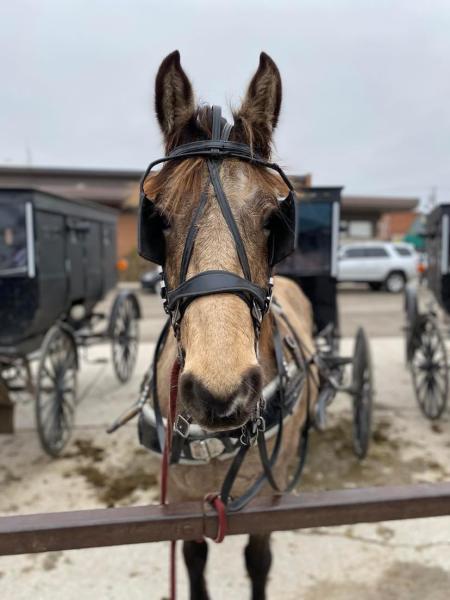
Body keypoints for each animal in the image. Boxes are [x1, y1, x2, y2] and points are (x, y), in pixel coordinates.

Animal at [142, 50, 318, 600]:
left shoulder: (263, 502)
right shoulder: (181, 498)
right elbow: (194, 559)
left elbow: (259, 561)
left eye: (274, 221)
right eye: (158, 220)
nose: (221, 393)